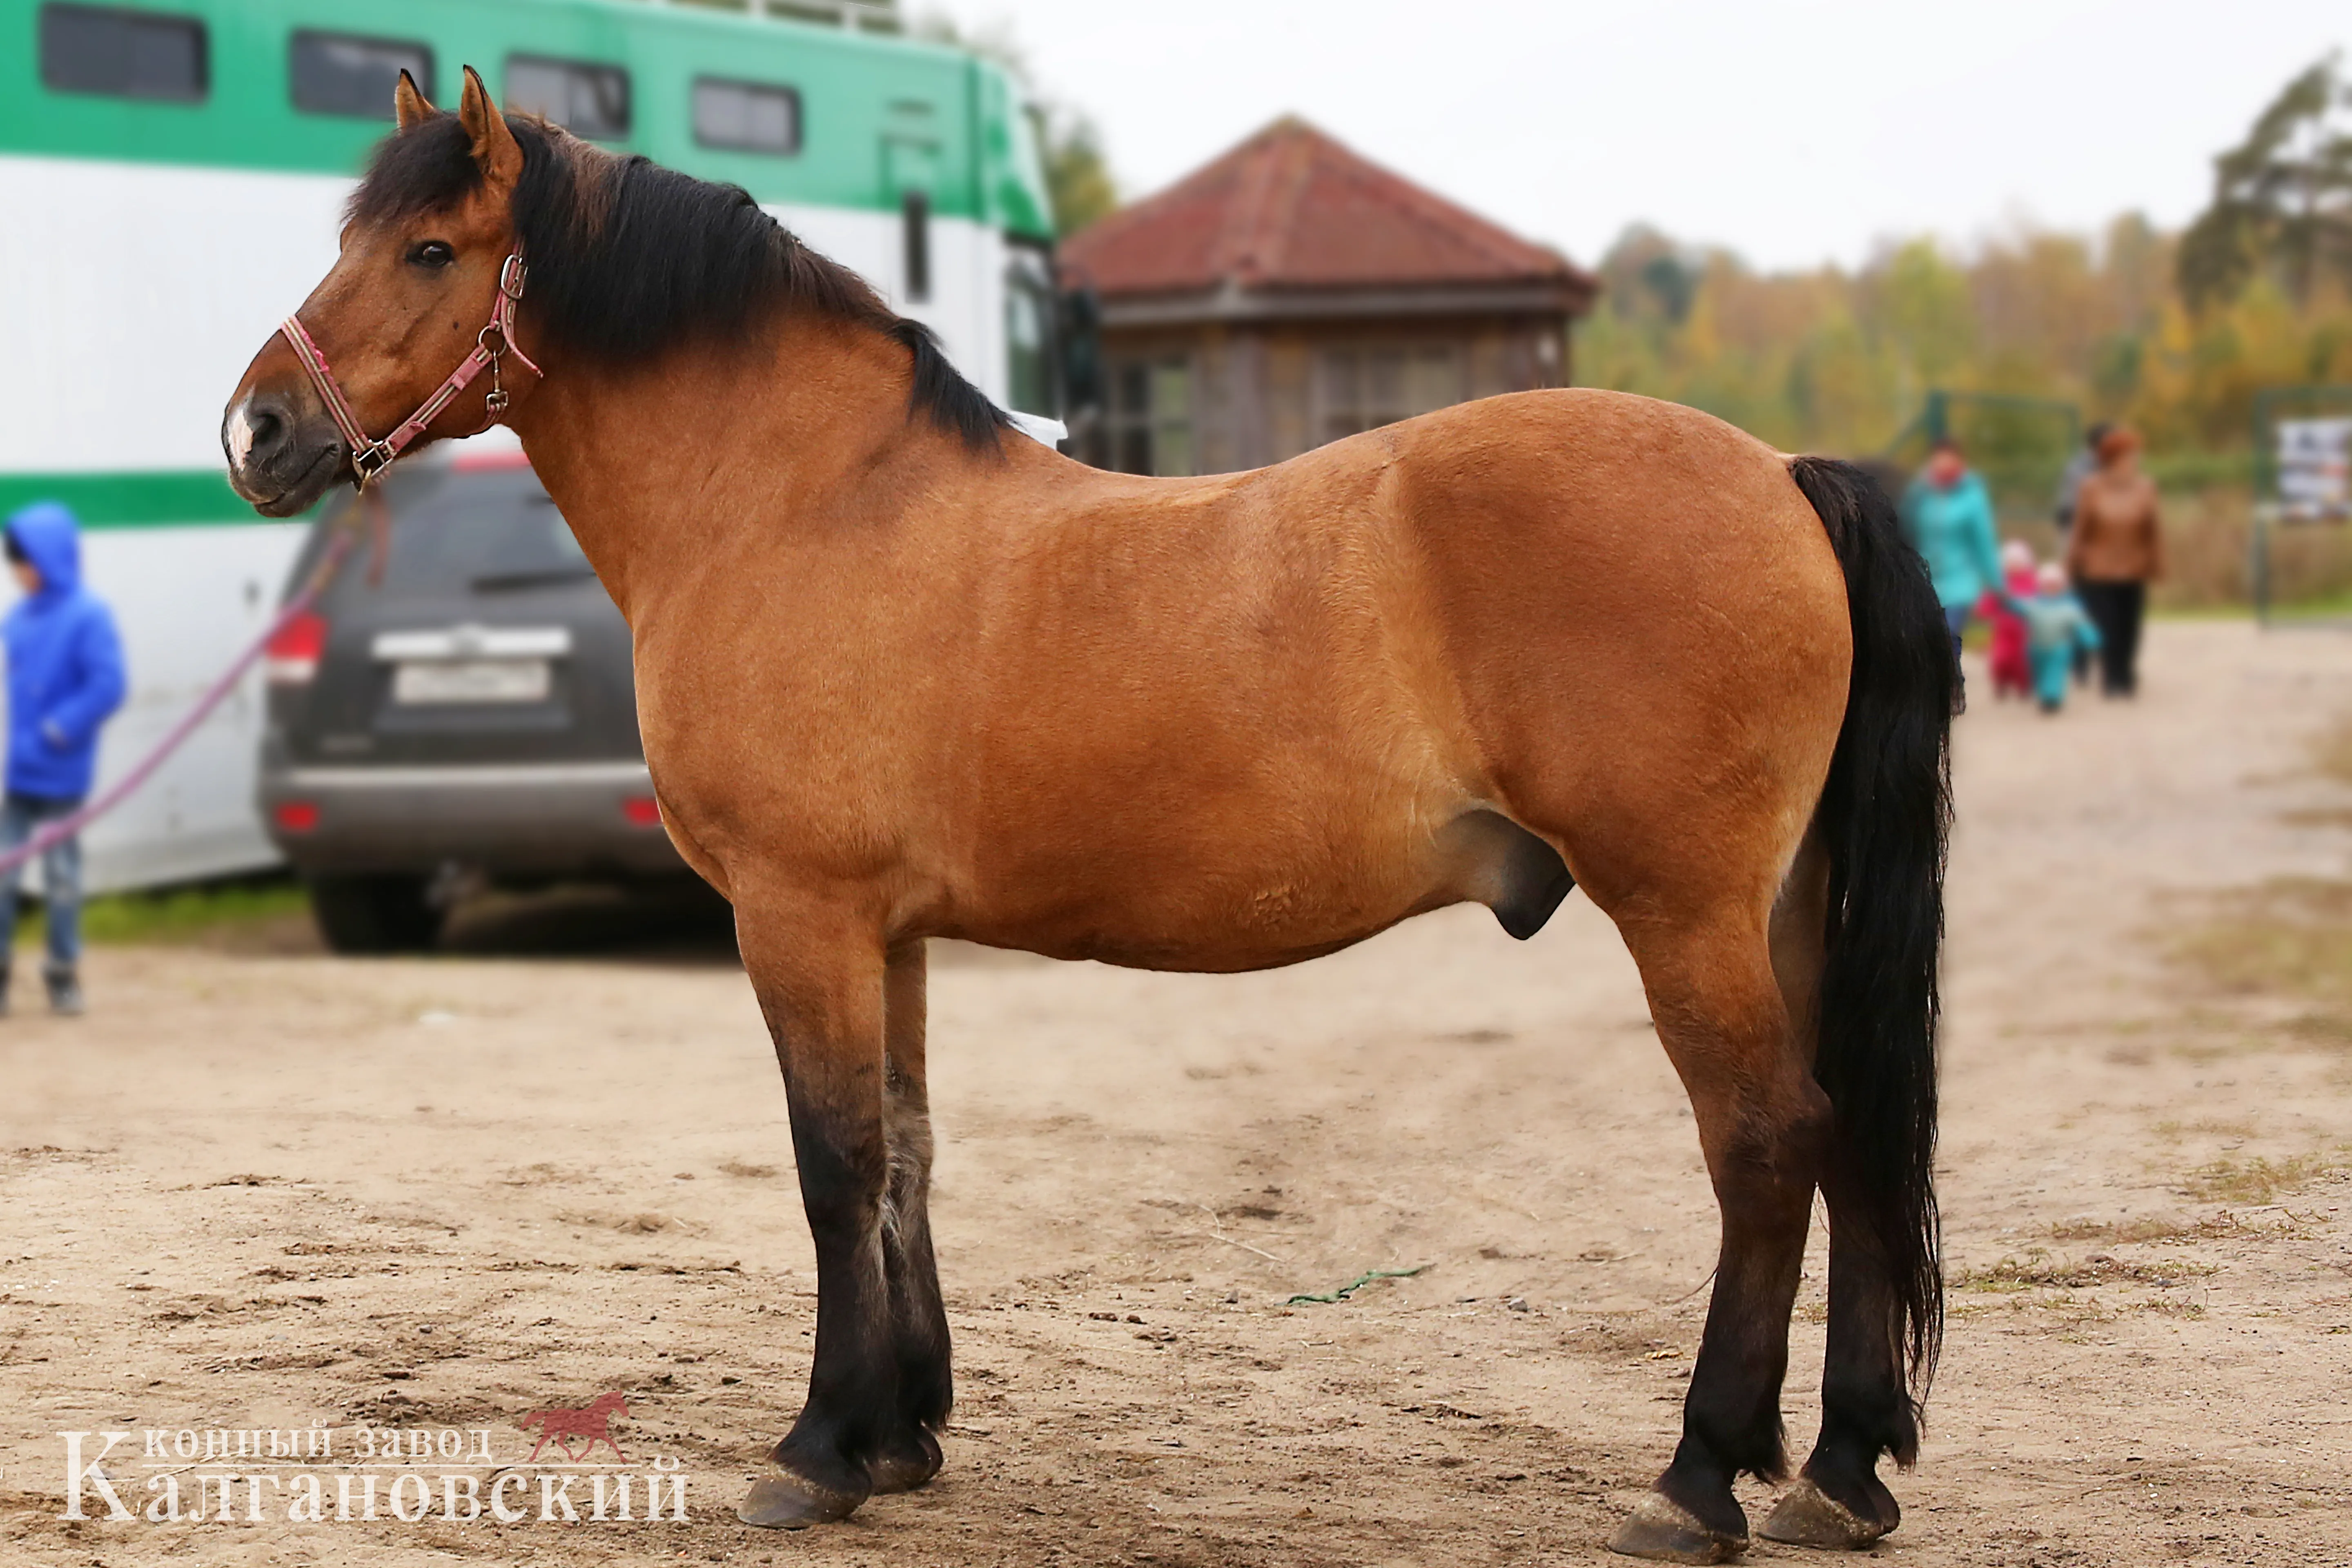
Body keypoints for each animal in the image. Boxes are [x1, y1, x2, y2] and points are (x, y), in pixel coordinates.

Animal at [216, 67, 1947, 1561]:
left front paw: (816, 1451)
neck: (798, 501)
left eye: (430, 249)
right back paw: (1844, 1473)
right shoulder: (888, 932)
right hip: (1787, 914)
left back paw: (1698, 1479)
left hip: (1685, 913)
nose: (257, 431)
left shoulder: (798, 913)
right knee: (1855, 1130)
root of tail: (1781, 477)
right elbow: (905, 1152)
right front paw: (900, 1434)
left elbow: (832, 1162)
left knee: (1764, 1144)